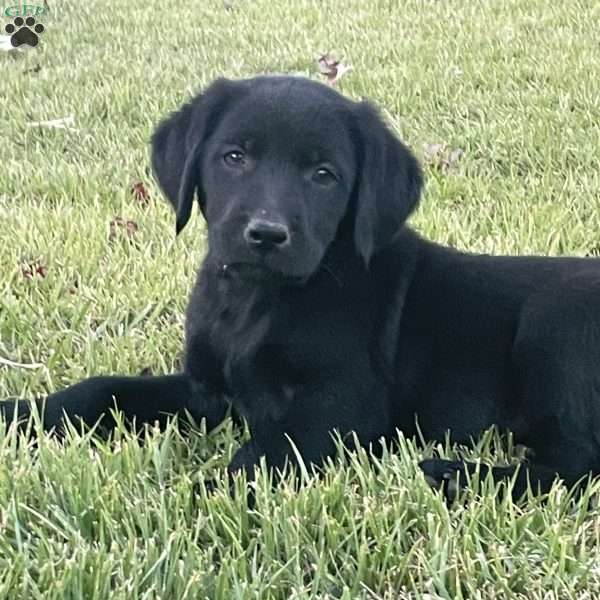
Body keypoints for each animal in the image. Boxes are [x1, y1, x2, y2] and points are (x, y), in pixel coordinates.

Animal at [4, 74, 600, 496]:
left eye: (323, 175)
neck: (254, 302)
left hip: (556, 318)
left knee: (577, 466)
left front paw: (195, 499)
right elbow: (101, 390)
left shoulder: (343, 405)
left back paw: (453, 475)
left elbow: (258, 456)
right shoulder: (207, 390)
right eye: (234, 157)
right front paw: (21, 414)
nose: (267, 235)